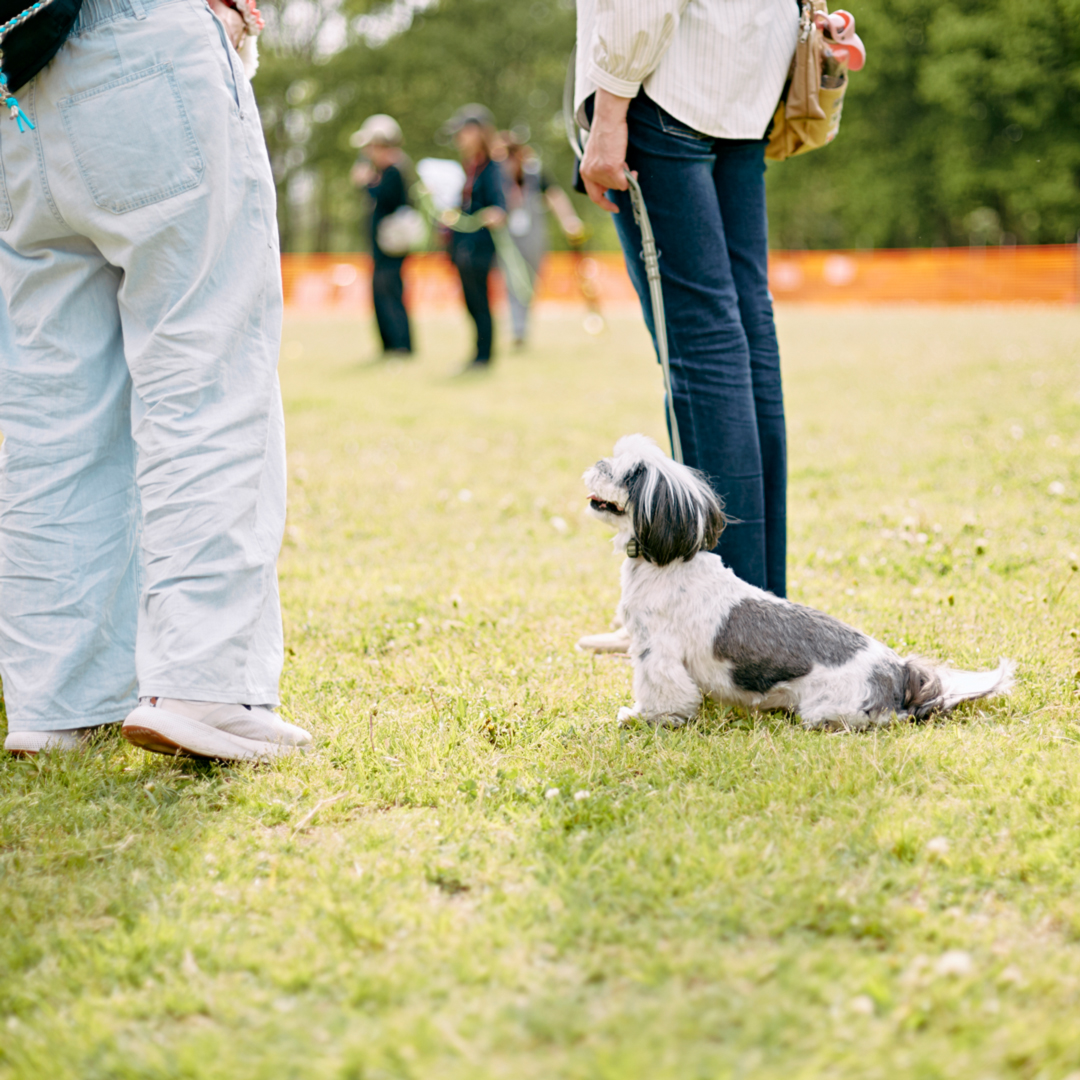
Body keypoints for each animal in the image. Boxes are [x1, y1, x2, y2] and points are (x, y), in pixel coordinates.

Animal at [583, 434, 1010, 730]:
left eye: (629, 474)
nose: (598, 464)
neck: (667, 560)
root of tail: (900, 670)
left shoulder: (656, 650)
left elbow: (660, 690)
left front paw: (644, 717)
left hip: (828, 706)